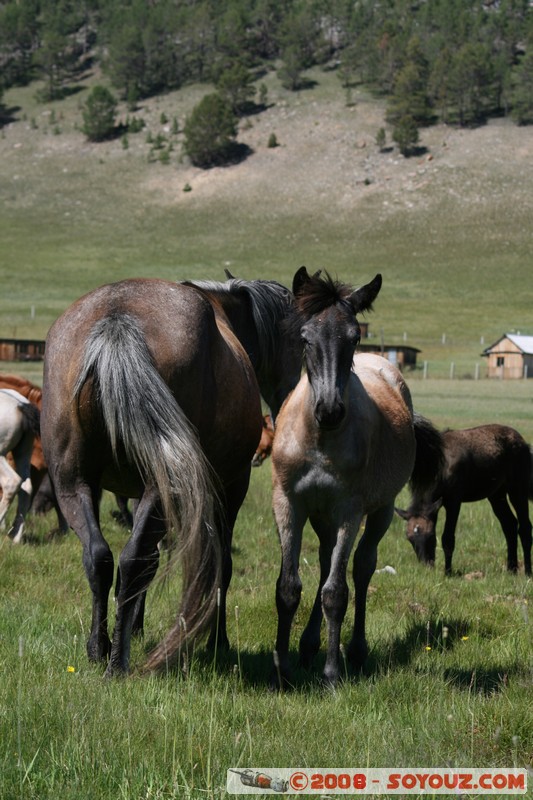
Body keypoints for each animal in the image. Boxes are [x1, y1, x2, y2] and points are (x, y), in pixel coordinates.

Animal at [40, 276, 300, 676]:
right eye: (304, 341)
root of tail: (117, 317)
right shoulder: (230, 488)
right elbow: (221, 566)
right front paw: (218, 641)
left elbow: (150, 558)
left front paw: (135, 625)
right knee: (130, 560)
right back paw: (118, 662)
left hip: (75, 483)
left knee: (100, 557)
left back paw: (100, 648)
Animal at [270, 270, 420, 688]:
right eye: (306, 337)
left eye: (354, 336)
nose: (330, 411)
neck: (318, 440)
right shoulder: (288, 503)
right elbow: (288, 588)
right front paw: (283, 670)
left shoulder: (349, 511)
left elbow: (336, 592)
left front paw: (331, 674)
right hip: (322, 517)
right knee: (324, 562)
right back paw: (307, 647)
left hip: (380, 511)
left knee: (362, 568)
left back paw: (355, 651)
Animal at [394, 418, 532, 576]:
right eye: (409, 538)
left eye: (430, 536)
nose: (426, 566)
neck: (441, 468)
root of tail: (524, 443)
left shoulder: (454, 502)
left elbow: (448, 538)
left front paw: (448, 572)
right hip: (497, 495)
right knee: (509, 525)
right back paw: (511, 569)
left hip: (518, 490)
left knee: (525, 527)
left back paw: (528, 571)